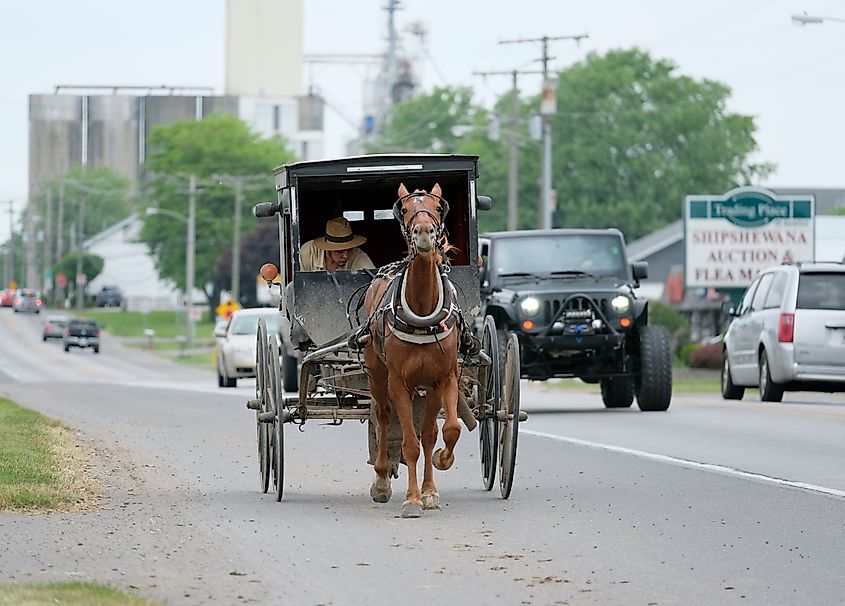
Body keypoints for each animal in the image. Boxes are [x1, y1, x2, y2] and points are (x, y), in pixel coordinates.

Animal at [362, 183, 462, 520]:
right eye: (404, 209)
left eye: (437, 206)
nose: (424, 233)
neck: (421, 311)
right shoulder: (399, 383)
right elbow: (410, 444)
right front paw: (412, 499)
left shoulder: (443, 380)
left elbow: (443, 432)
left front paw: (435, 479)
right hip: (377, 374)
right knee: (382, 415)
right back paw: (381, 480)